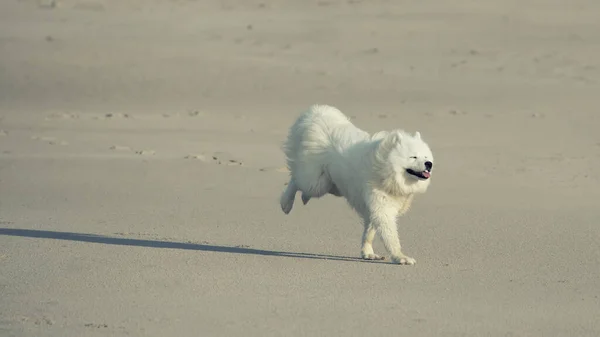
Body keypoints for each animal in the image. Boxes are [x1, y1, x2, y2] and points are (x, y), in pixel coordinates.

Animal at [278, 103, 434, 264]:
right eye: (413, 157)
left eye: (426, 156)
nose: (429, 164)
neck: (385, 169)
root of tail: (316, 114)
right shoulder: (382, 209)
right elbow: (391, 237)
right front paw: (400, 257)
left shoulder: (373, 208)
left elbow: (369, 233)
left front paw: (368, 253)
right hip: (317, 184)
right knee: (296, 179)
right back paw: (286, 203)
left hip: (331, 185)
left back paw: (302, 198)